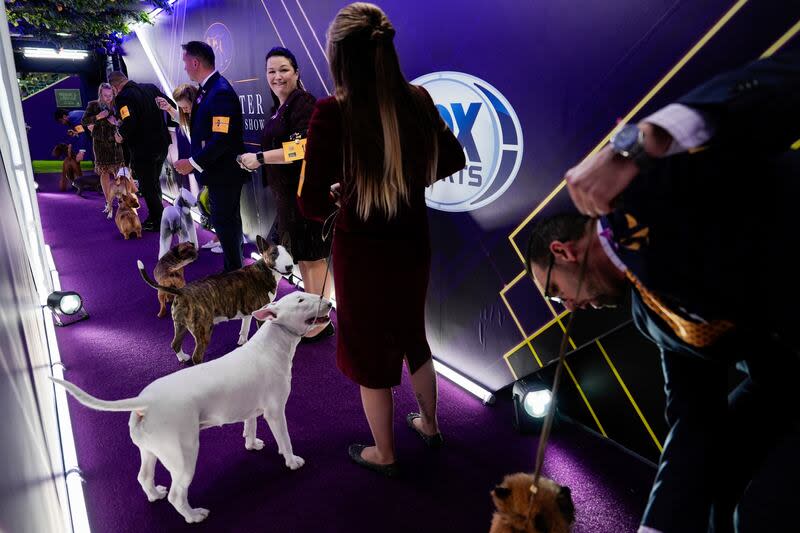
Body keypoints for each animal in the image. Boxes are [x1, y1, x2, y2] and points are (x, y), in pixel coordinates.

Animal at [50, 288, 332, 520]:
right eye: (300, 300)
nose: (329, 303)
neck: (273, 343)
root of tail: (145, 401)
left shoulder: (251, 408)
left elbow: (250, 427)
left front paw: (252, 445)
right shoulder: (275, 412)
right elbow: (284, 439)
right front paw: (292, 461)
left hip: (150, 450)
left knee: (144, 476)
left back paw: (155, 494)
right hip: (183, 455)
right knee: (177, 494)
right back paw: (194, 515)